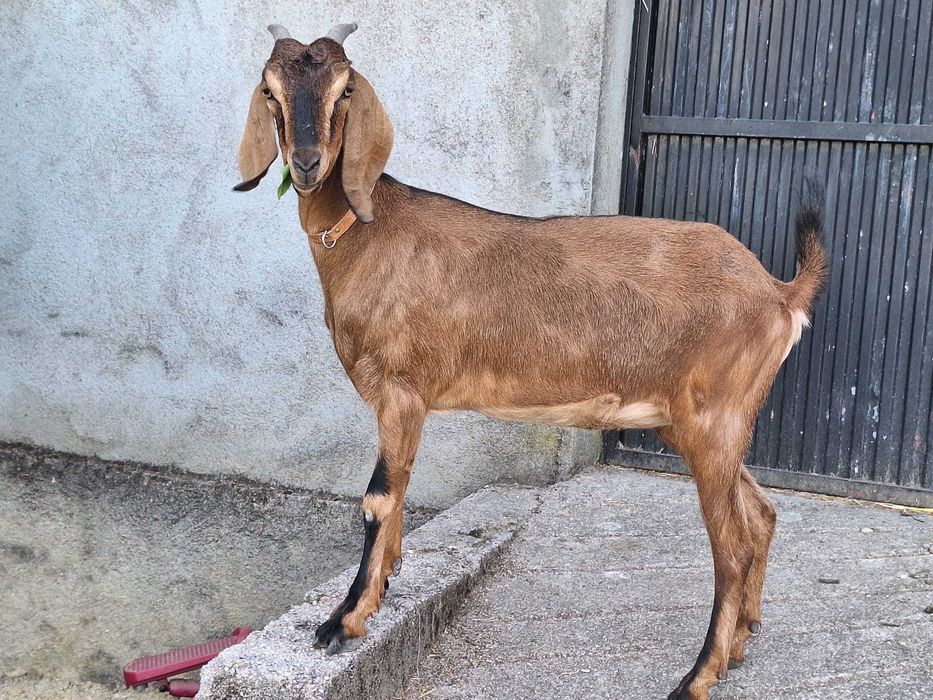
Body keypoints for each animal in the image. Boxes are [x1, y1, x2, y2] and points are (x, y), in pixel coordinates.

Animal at [234, 23, 828, 700]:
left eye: (344, 90)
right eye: (270, 90)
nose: (307, 164)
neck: (367, 232)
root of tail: (778, 292)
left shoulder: (401, 391)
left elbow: (379, 499)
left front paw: (343, 620)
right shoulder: (407, 406)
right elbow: (402, 493)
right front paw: (379, 593)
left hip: (713, 418)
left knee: (730, 546)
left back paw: (698, 674)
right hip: (700, 425)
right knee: (760, 515)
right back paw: (740, 644)